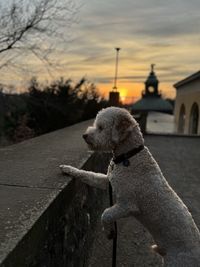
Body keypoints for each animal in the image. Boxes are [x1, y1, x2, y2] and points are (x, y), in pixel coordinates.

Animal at [60, 107, 200, 267]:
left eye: (101, 127)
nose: (85, 135)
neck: (128, 157)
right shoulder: (108, 181)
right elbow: (88, 175)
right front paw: (68, 169)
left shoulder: (128, 205)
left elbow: (106, 213)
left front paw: (109, 232)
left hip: (179, 261)